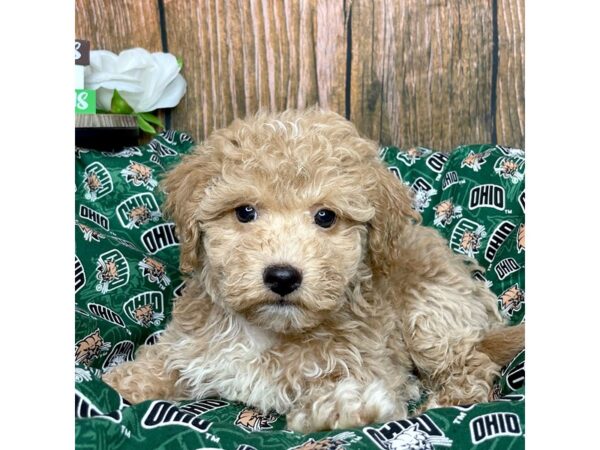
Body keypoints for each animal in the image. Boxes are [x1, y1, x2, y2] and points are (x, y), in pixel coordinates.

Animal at [104, 107, 524, 430]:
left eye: (326, 217)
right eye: (245, 212)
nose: (282, 276)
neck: (268, 331)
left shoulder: (376, 363)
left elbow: (350, 392)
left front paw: (340, 407)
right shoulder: (189, 346)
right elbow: (159, 366)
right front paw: (117, 383)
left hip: (433, 314)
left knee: (471, 363)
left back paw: (445, 402)